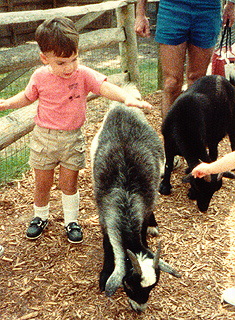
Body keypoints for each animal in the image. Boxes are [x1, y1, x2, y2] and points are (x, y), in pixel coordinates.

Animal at [91, 90, 181, 312]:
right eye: (129, 286)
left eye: (152, 288)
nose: (139, 310)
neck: (126, 196)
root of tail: (122, 107)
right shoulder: (103, 214)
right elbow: (107, 244)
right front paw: (105, 274)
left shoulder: (146, 204)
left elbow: (143, 225)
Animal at [161, 74, 235, 211]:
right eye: (198, 187)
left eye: (215, 191)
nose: (203, 208)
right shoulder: (167, 143)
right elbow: (168, 165)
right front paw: (164, 187)